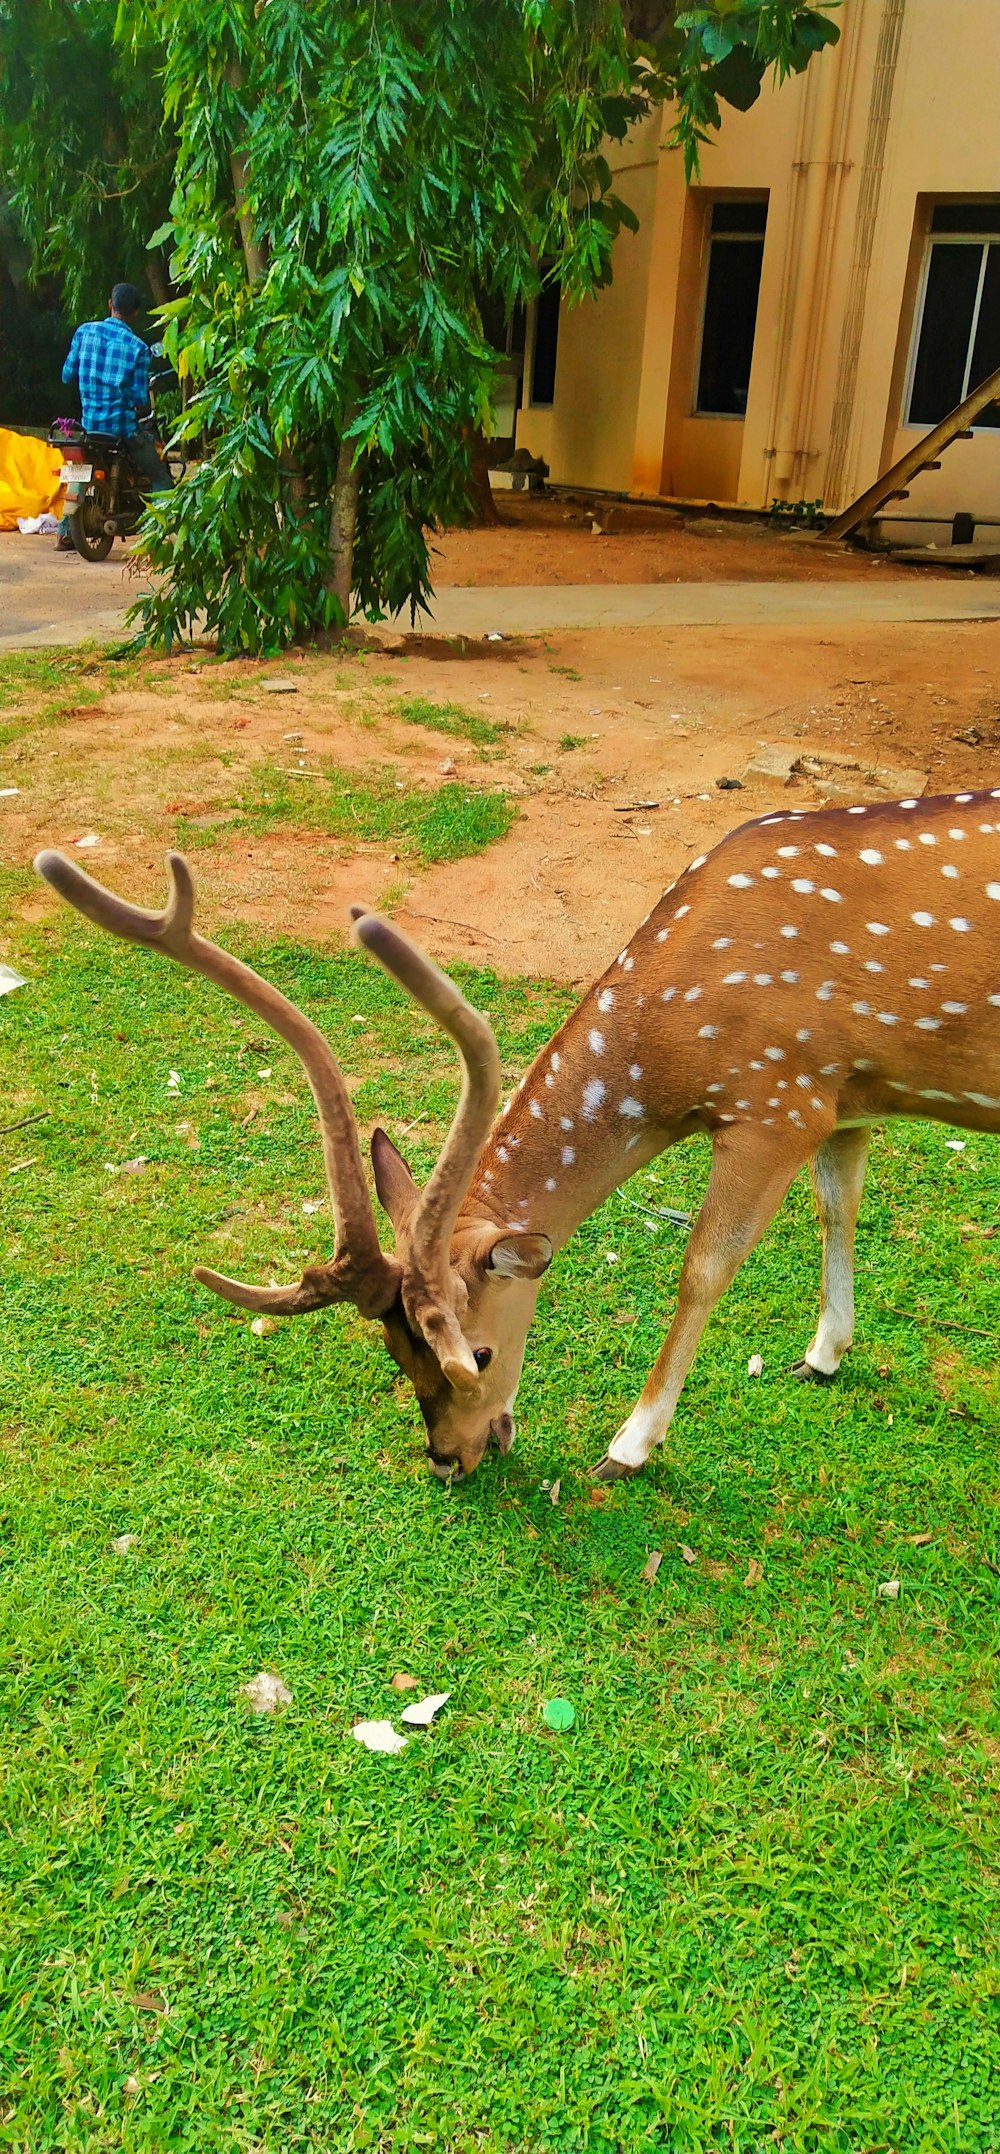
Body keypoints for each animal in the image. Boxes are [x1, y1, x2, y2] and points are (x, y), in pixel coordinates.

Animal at [35, 792, 1000, 1481]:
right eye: (394, 1352)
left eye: (477, 1354)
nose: (448, 1460)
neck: (674, 1046)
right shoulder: (846, 1093)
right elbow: (840, 1208)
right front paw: (824, 1355)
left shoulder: (775, 1098)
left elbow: (702, 1268)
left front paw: (630, 1443)